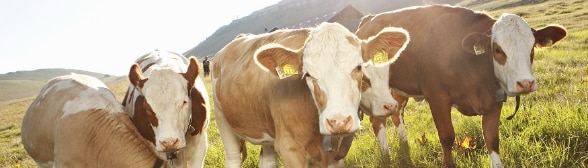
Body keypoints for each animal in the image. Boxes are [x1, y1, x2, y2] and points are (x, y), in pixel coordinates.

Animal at [211, 21, 408, 167]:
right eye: (308, 75)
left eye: (358, 67)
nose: (338, 122)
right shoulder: (290, 149)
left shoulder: (334, 156)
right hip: (222, 120)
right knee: (233, 158)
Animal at [356, 4, 568, 168]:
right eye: (497, 49)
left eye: (531, 48)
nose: (525, 83)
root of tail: (367, 20)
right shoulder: (437, 98)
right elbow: (447, 136)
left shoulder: (494, 100)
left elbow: (492, 138)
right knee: (378, 120)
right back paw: (386, 155)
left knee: (397, 112)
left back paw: (404, 145)